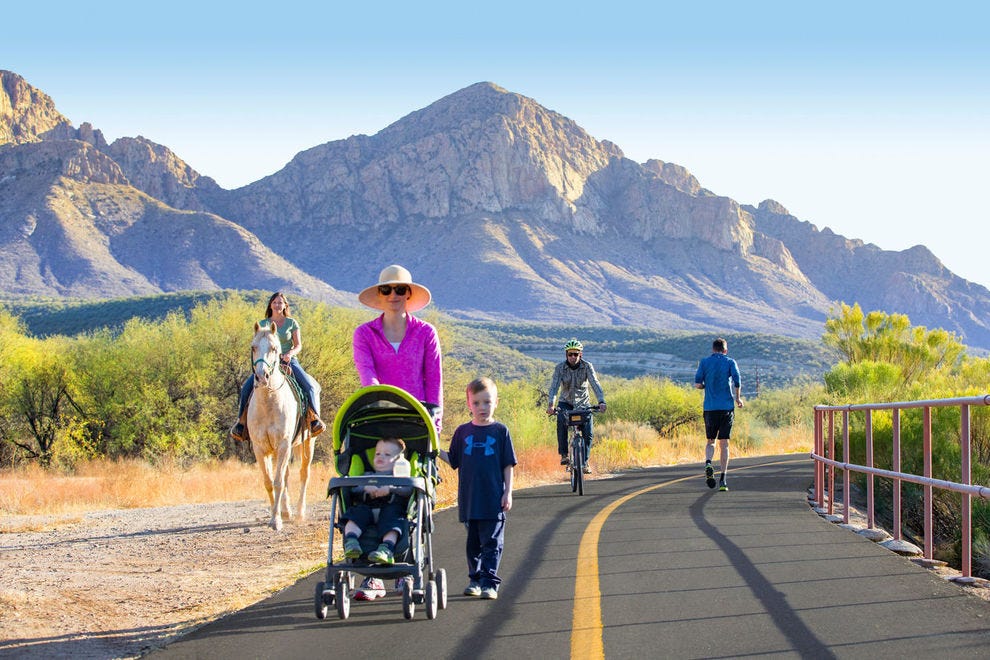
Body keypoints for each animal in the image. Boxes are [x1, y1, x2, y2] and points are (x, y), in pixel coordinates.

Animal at [245, 320, 314, 532]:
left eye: (275, 348)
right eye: (253, 347)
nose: (262, 377)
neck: (269, 402)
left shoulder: (283, 445)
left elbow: (277, 482)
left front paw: (276, 521)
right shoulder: (260, 448)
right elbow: (269, 482)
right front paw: (277, 515)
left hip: (308, 443)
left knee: (303, 474)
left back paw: (299, 512)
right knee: (286, 476)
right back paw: (287, 511)